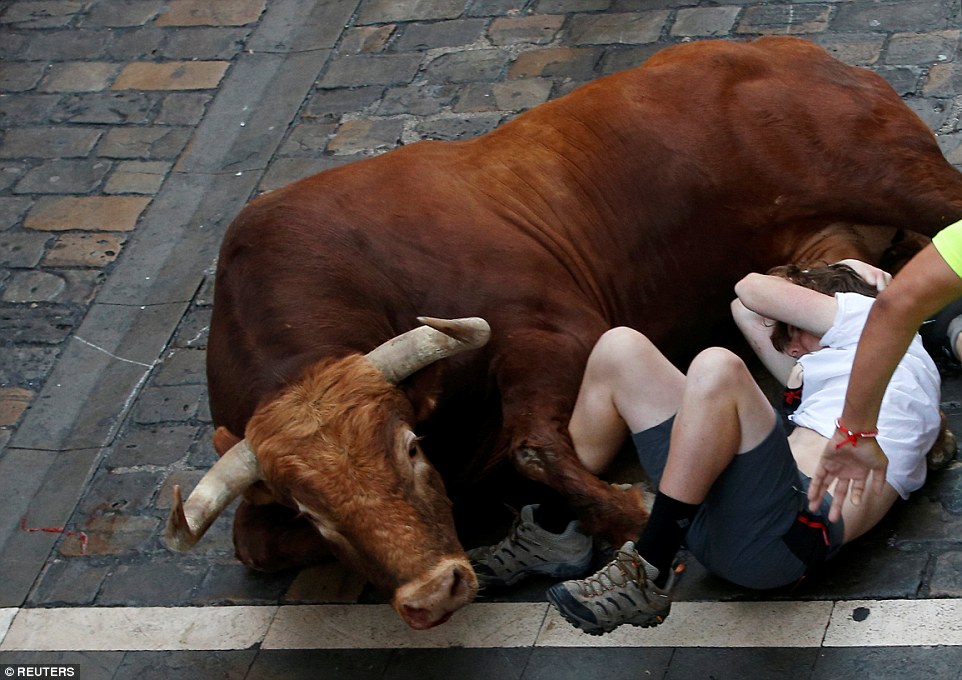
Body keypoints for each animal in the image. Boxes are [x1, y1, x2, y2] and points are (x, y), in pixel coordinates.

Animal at [165, 37, 960, 628]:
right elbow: (258, 545)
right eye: (314, 511)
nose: (433, 591)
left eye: (409, 448)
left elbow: (536, 445)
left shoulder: (560, 329)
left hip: (903, 178)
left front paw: (630, 509)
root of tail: (794, 52)